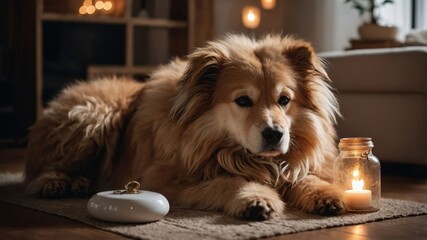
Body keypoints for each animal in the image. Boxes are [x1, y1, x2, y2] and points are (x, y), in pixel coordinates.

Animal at [23, 34, 346, 220]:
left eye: (284, 100)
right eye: (243, 100)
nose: (275, 134)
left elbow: (306, 178)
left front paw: (328, 195)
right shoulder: (166, 181)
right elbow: (230, 180)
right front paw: (256, 199)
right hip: (95, 115)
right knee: (44, 169)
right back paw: (60, 183)